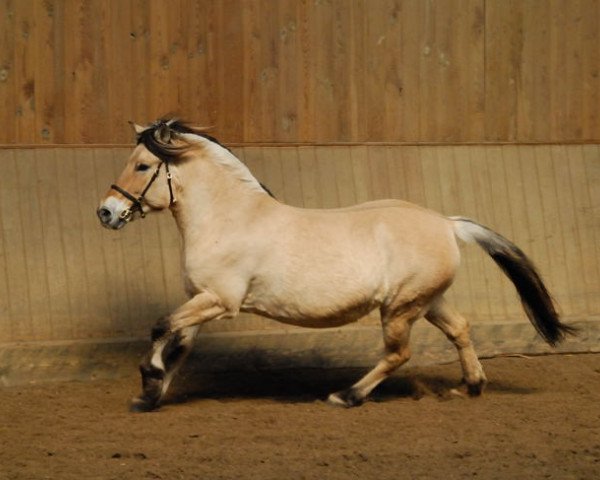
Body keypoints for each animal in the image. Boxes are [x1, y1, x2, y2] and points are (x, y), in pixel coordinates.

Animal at [96, 120, 576, 412]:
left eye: (142, 165)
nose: (106, 212)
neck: (229, 217)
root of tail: (446, 223)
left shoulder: (219, 301)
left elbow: (161, 327)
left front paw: (149, 379)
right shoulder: (200, 298)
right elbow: (178, 343)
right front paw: (151, 394)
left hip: (400, 308)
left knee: (398, 353)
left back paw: (346, 396)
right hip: (426, 300)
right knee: (460, 329)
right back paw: (471, 386)